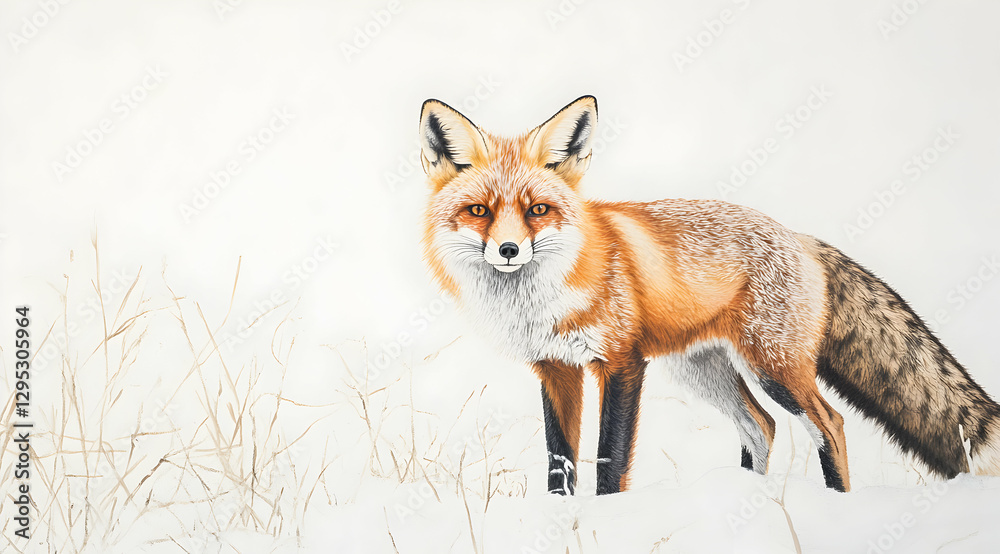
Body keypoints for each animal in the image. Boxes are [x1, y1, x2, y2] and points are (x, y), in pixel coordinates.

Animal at [418, 95, 1000, 494]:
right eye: (479, 211)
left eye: (537, 209)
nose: (509, 249)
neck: (543, 301)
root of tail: (800, 237)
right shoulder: (556, 369)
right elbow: (559, 463)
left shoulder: (622, 363)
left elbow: (610, 460)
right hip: (703, 370)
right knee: (761, 426)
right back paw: (749, 500)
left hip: (774, 367)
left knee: (828, 425)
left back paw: (837, 503)